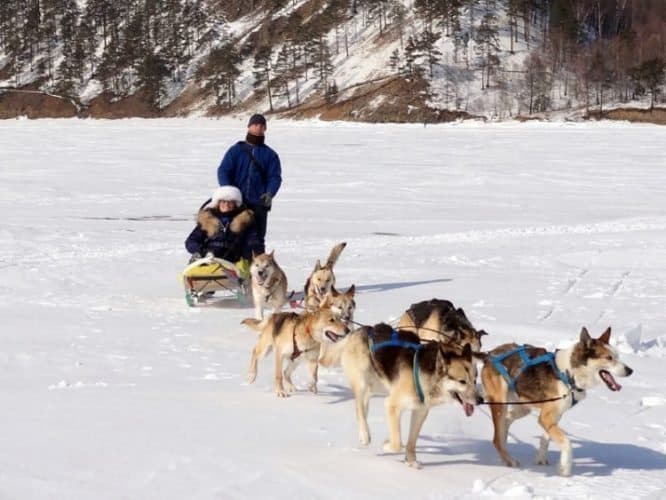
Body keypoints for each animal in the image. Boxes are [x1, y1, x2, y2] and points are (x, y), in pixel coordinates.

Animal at [340, 324, 480, 468]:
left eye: (475, 380)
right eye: (462, 381)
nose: (480, 400)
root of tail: (361, 330)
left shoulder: (419, 412)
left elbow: (411, 442)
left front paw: (411, 461)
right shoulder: (392, 406)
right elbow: (397, 443)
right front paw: (386, 445)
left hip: (376, 384)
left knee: (365, 404)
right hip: (362, 381)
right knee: (359, 408)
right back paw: (365, 434)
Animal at [480, 328, 632, 476]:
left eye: (617, 356)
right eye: (609, 358)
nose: (630, 370)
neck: (569, 374)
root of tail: (489, 355)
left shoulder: (553, 416)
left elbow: (546, 438)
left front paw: (541, 459)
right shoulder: (546, 417)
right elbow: (567, 443)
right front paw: (565, 469)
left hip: (522, 407)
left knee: (505, 423)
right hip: (500, 404)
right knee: (496, 438)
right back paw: (509, 459)